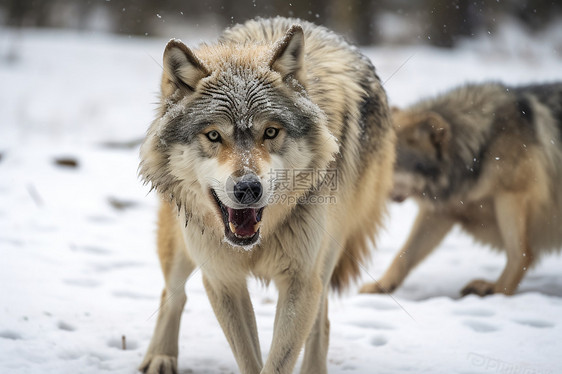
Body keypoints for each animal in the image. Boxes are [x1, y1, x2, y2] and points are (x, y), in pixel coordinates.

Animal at [137, 16, 392, 374]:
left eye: (270, 132)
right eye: (213, 135)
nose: (248, 188)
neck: (255, 243)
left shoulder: (301, 281)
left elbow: (280, 358)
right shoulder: (223, 281)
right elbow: (248, 357)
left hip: (328, 255)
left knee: (320, 322)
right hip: (181, 243)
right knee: (173, 293)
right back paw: (160, 356)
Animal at [358, 82, 560, 298]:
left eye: (388, 163)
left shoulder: (512, 194)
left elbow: (521, 255)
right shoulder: (441, 212)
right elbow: (403, 255)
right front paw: (381, 286)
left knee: (523, 254)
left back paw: (493, 290)